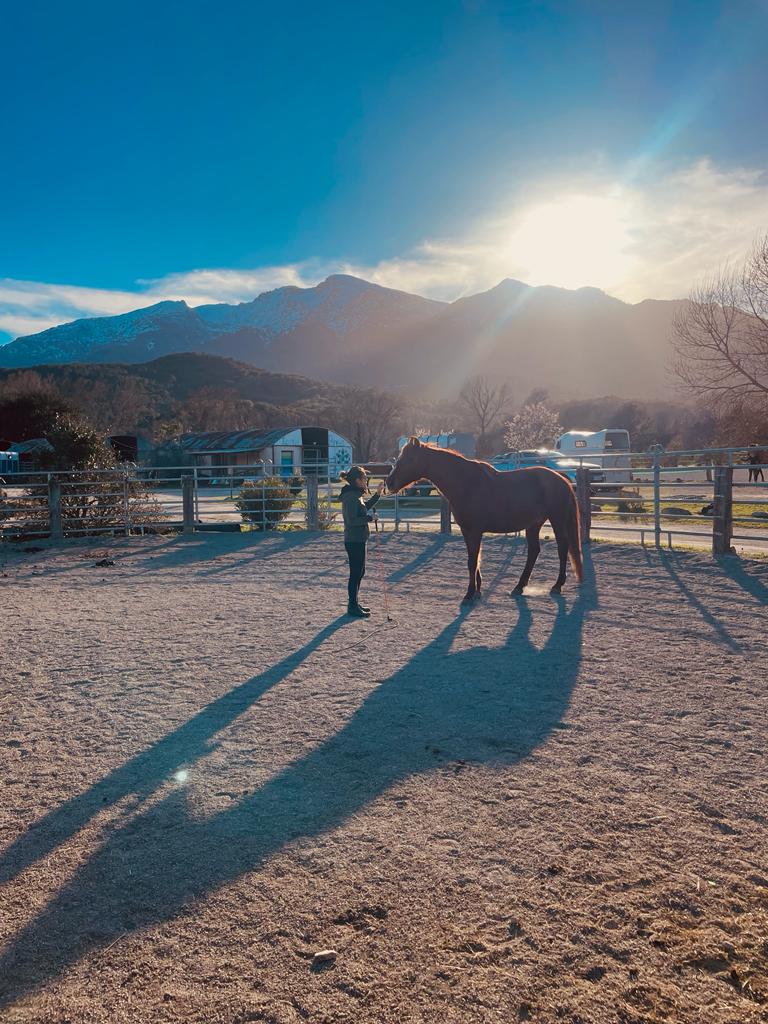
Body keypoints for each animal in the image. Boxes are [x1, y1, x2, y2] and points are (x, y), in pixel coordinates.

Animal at [386, 437, 583, 601]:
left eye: (410, 459)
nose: (389, 482)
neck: (466, 483)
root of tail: (561, 478)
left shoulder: (474, 531)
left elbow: (472, 561)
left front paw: (469, 593)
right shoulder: (467, 531)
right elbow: (475, 559)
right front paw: (477, 590)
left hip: (557, 520)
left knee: (562, 548)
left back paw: (557, 585)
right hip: (534, 524)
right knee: (534, 551)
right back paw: (519, 587)